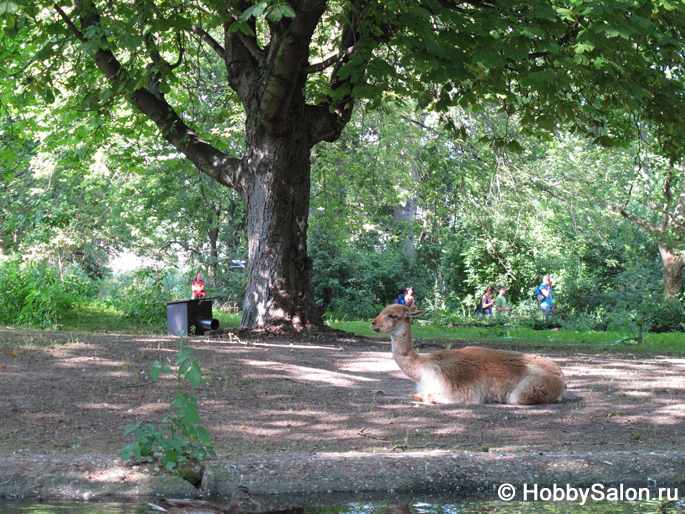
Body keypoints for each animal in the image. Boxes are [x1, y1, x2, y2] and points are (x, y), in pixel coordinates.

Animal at [372, 302, 564, 402]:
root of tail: (560, 375)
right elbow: (416, 394)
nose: (373, 323)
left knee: (516, 397)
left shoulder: (462, 391)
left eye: (392, 316)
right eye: (381, 312)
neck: (425, 368)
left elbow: (428, 397)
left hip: (530, 388)